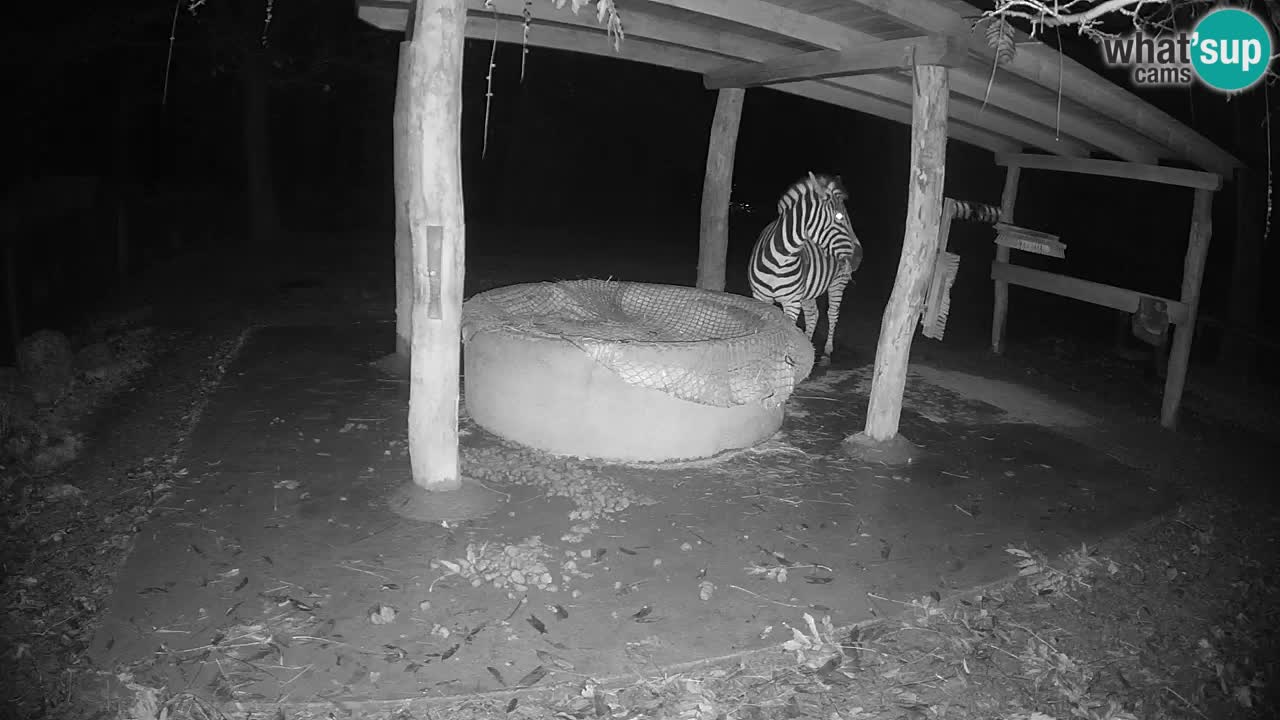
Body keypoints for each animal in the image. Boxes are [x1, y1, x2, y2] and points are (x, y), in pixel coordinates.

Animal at [748, 172, 863, 365]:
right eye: (839, 217)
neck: (779, 260)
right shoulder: (760, 297)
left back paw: (826, 352)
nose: (859, 258)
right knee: (812, 315)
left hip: (837, 283)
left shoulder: (792, 302)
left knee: (832, 314)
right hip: (808, 291)